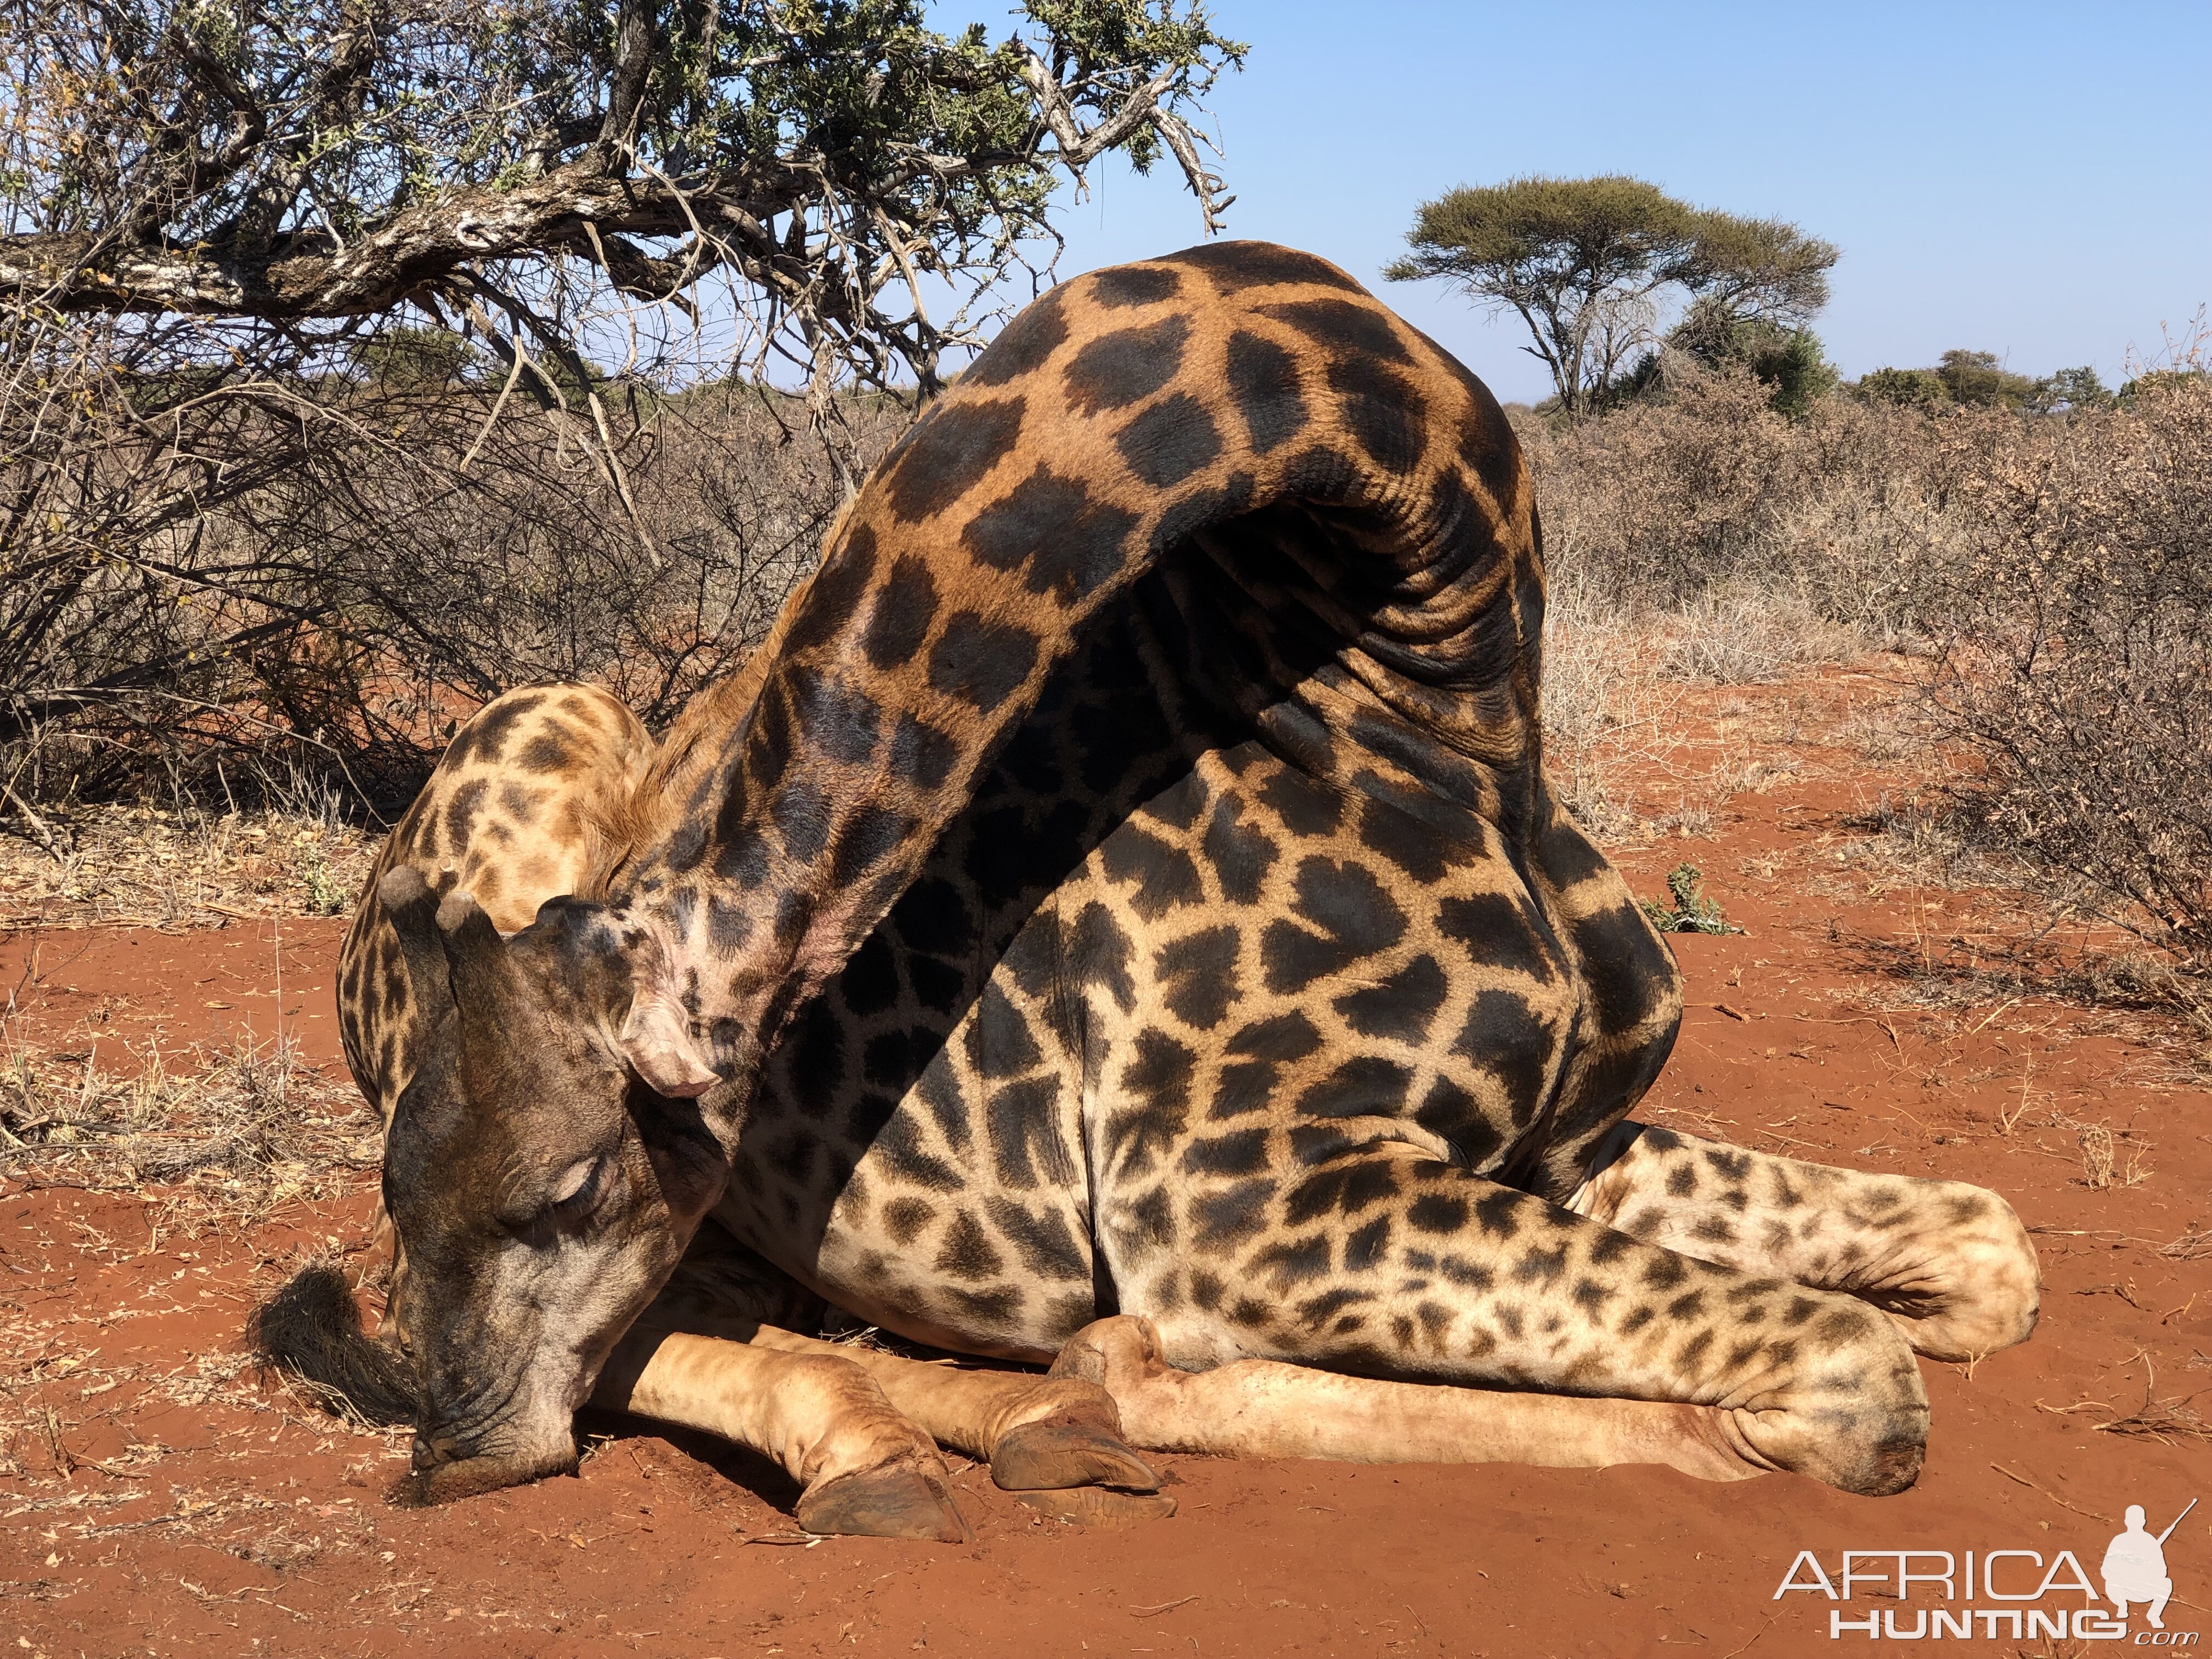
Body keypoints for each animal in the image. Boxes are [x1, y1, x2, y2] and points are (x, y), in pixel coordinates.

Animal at [272, 240, 2035, 1539]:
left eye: (568, 1189)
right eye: (406, 1198)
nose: (455, 1451)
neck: (1449, 695)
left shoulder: (1562, 1144)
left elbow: (1980, 1254)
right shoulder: (1232, 1203)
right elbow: (1851, 1377)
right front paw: (1115, 1379)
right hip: (537, 738)